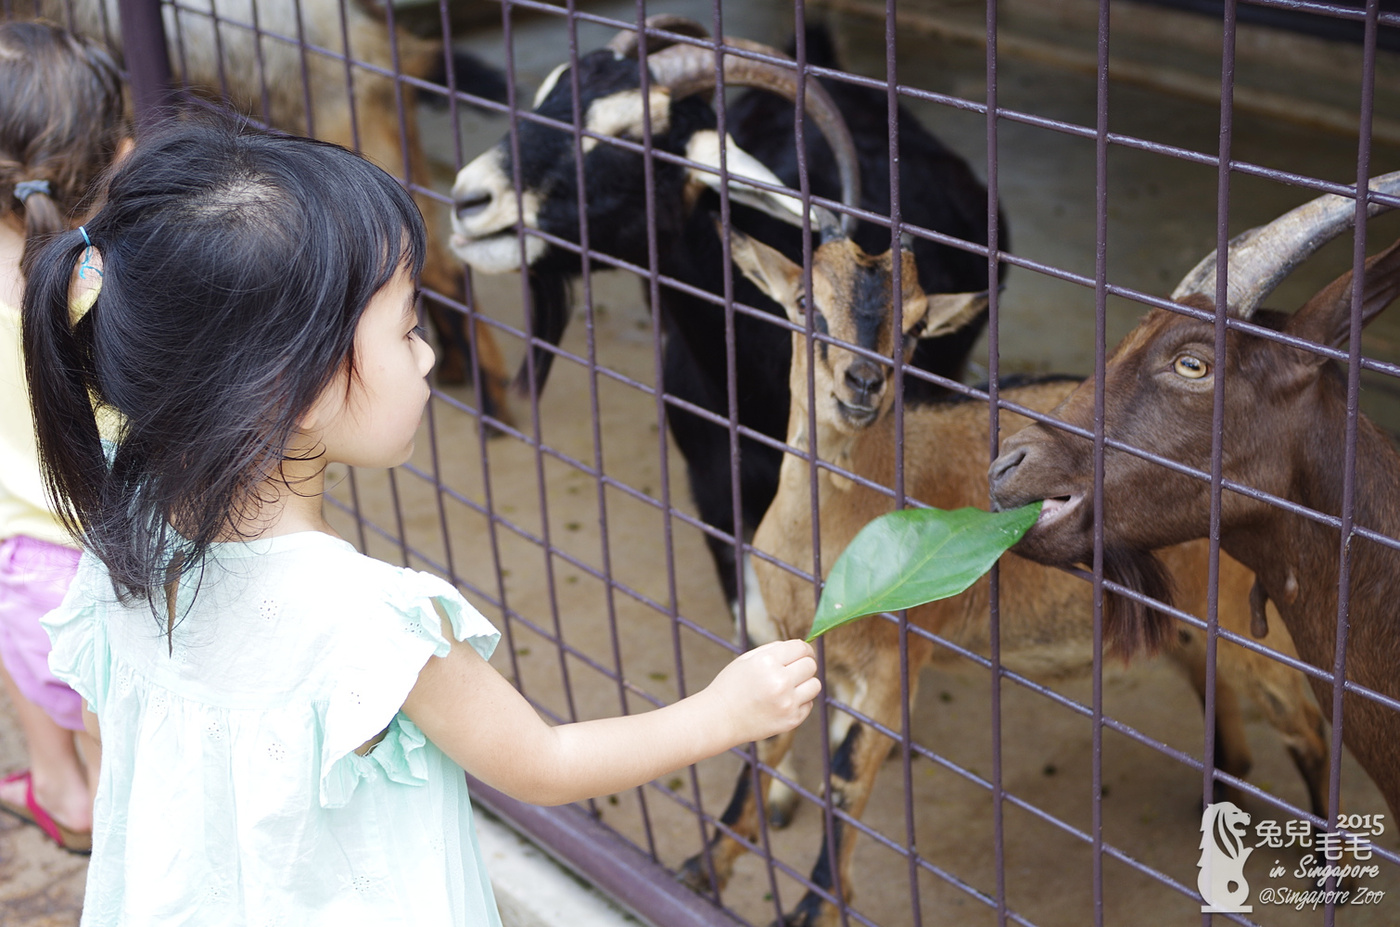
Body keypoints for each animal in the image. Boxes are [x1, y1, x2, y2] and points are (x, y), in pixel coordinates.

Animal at [680, 226, 1332, 927]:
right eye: (805, 301)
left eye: (915, 326)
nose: (864, 382)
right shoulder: (793, 642)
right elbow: (759, 745)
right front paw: (704, 868)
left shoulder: (895, 660)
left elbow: (847, 774)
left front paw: (814, 906)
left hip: (1248, 628)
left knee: (1310, 727)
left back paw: (1329, 873)